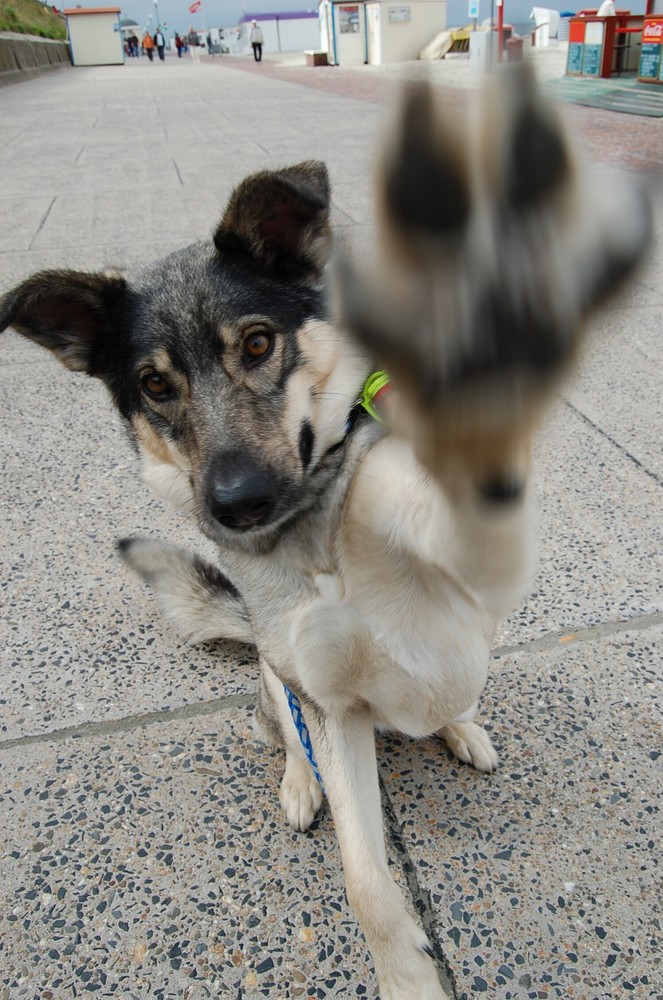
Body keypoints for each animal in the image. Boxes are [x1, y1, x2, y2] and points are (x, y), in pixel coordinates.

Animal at [0, 66, 648, 996]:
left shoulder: (476, 546)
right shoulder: (329, 707)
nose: (234, 505)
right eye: (155, 385)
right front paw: (408, 975)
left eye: (257, 344)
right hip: (278, 688)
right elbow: (364, 877)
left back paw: (459, 724)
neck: (317, 541)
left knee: (453, 691)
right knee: (286, 731)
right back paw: (299, 781)